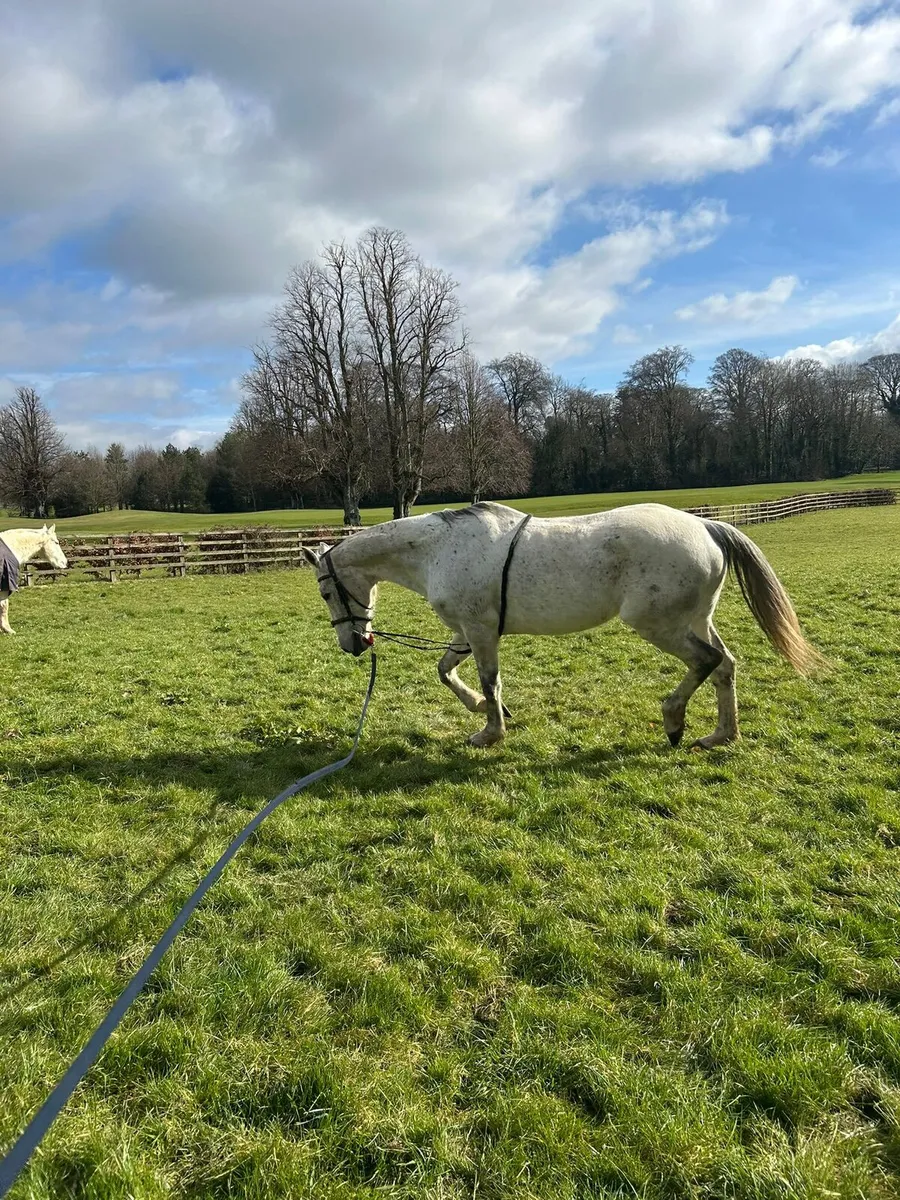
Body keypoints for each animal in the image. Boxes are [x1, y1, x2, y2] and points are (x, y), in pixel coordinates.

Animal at [302, 501, 820, 749]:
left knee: (707, 661)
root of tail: (706, 527)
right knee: (725, 665)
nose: (353, 644)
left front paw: (490, 732)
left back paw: (674, 720)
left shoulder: (481, 632)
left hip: (659, 625)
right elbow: (446, 671)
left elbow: (489, 680)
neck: (436, 550)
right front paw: (482, 711)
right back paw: (721, 736)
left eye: (326, 592)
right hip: (696, 618)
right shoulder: (465, 632)